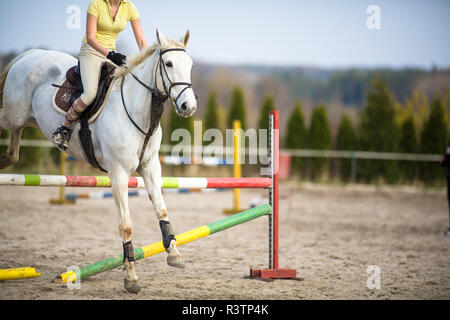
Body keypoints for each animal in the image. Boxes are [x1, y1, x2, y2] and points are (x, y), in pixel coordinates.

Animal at [0, 30, 197, 292]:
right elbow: (126, 225)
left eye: (190, 65)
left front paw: (174, 254)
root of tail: (30, 54)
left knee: (13, 152)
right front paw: (131, 277)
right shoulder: (119, 173)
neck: (139, 111)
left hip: (21, 121)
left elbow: (162, 209)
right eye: (169, 64)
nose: (188, 106)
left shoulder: (150, 167)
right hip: (11, 115)